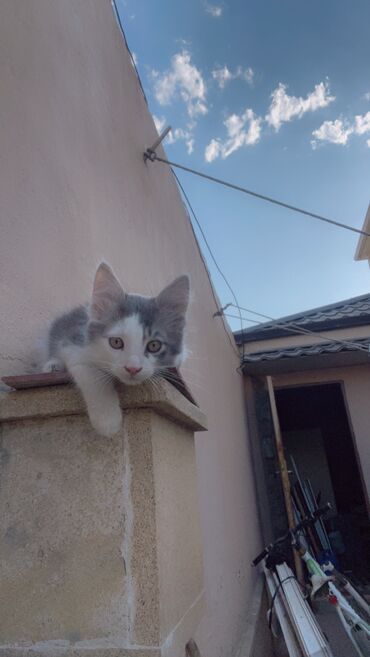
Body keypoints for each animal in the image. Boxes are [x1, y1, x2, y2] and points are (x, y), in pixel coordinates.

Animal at [42, 262, 189, 436]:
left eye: (154, 346)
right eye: (116, 342)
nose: (132, 368)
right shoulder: (73, 344)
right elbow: (92, 375)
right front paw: (107, 421)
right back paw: (52, 365)